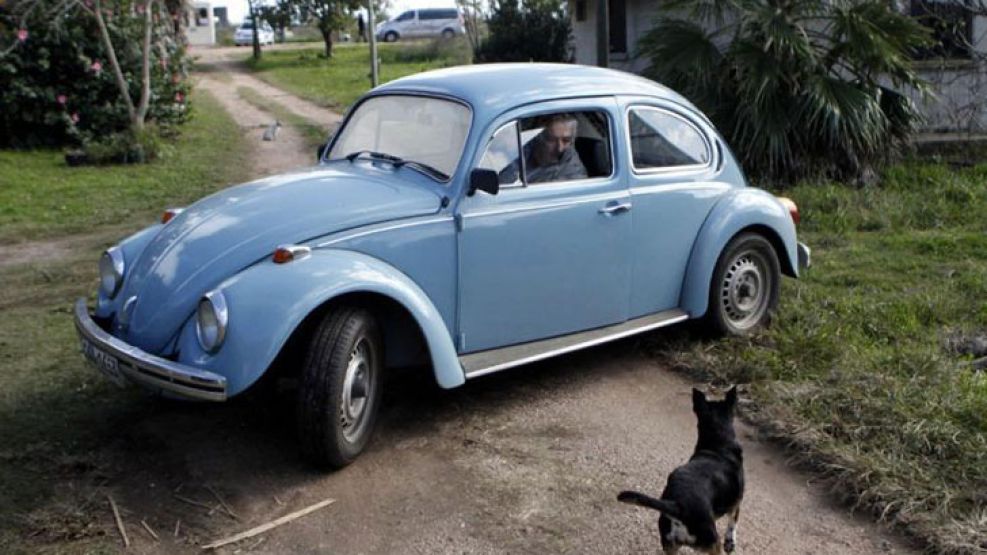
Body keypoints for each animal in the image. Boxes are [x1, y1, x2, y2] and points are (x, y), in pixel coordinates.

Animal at [612, 388, 744, 552]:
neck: (719, 444)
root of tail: (678, 506)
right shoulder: (736, 502)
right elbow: (733, 522)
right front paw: (730, 542)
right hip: (712, 542)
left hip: (670, 544)